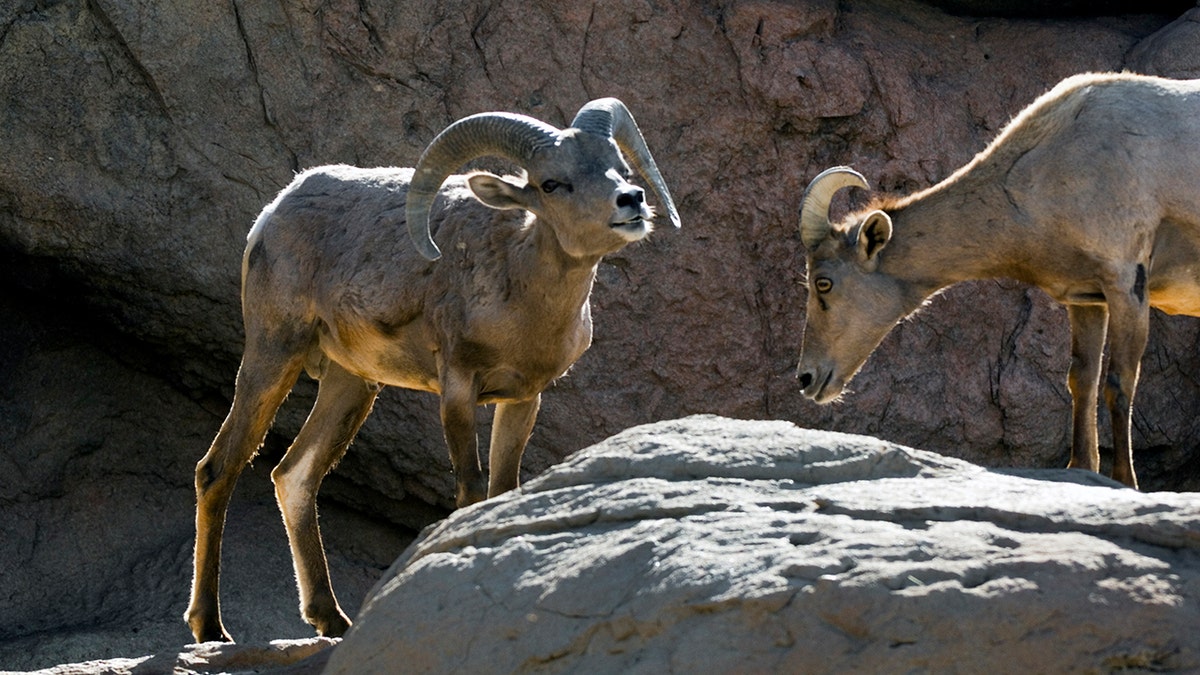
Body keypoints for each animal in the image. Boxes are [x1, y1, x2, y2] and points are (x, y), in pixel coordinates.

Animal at [182, 97, 681, 638]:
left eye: (620, 168)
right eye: (551, 183)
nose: (630, 200)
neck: (519, 286)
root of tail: (274, 211)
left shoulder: (523, 399)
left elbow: (503, 490)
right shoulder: (458, 390)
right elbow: (470, 490)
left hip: (351, 385)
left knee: (294, 476)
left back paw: (331, 619)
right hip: (274, 354)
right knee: (218, 469)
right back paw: (211, 627)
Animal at [796, 72, 1200, 487]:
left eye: (824, 282)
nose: (807, 378)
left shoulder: (1126, 284)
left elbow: (1118, 384)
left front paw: (1127, 482)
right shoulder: (1087, 299)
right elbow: (1082, 380)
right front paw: (1081, 468)